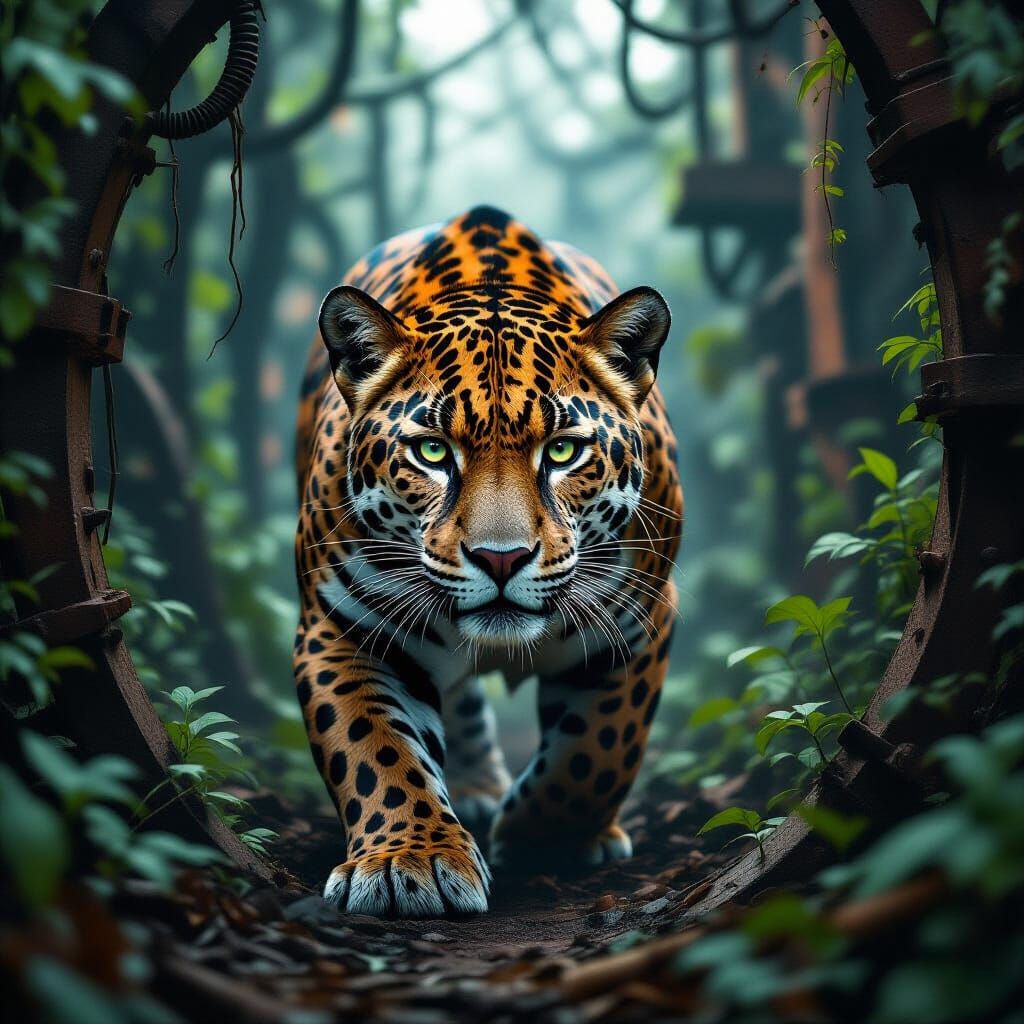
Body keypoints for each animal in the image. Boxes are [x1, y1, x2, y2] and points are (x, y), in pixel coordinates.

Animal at [294, 205, 682, 918]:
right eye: (430, 451)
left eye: (562, 451)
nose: (501, 560)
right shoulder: (341, 628)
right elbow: (374, 749)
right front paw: (408, 861)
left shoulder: (640, 623)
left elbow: (599, 749)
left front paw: (538, 839)